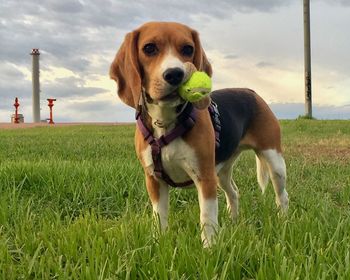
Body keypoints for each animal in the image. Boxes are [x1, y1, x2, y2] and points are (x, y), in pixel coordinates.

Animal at [109, 21, 288, 246]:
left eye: (188, 49)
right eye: (149, 48)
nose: (174, 74)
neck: (166, 123)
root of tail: (251, 92)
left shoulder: (205, 177)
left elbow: (207, 217)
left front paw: (209, 248)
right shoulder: (154, 179)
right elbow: (160, 215)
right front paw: (159, 242)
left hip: (274, 161)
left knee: (282, 195)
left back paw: (283, 221)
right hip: (221, 172)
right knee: (234, 193)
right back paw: (234, 221)